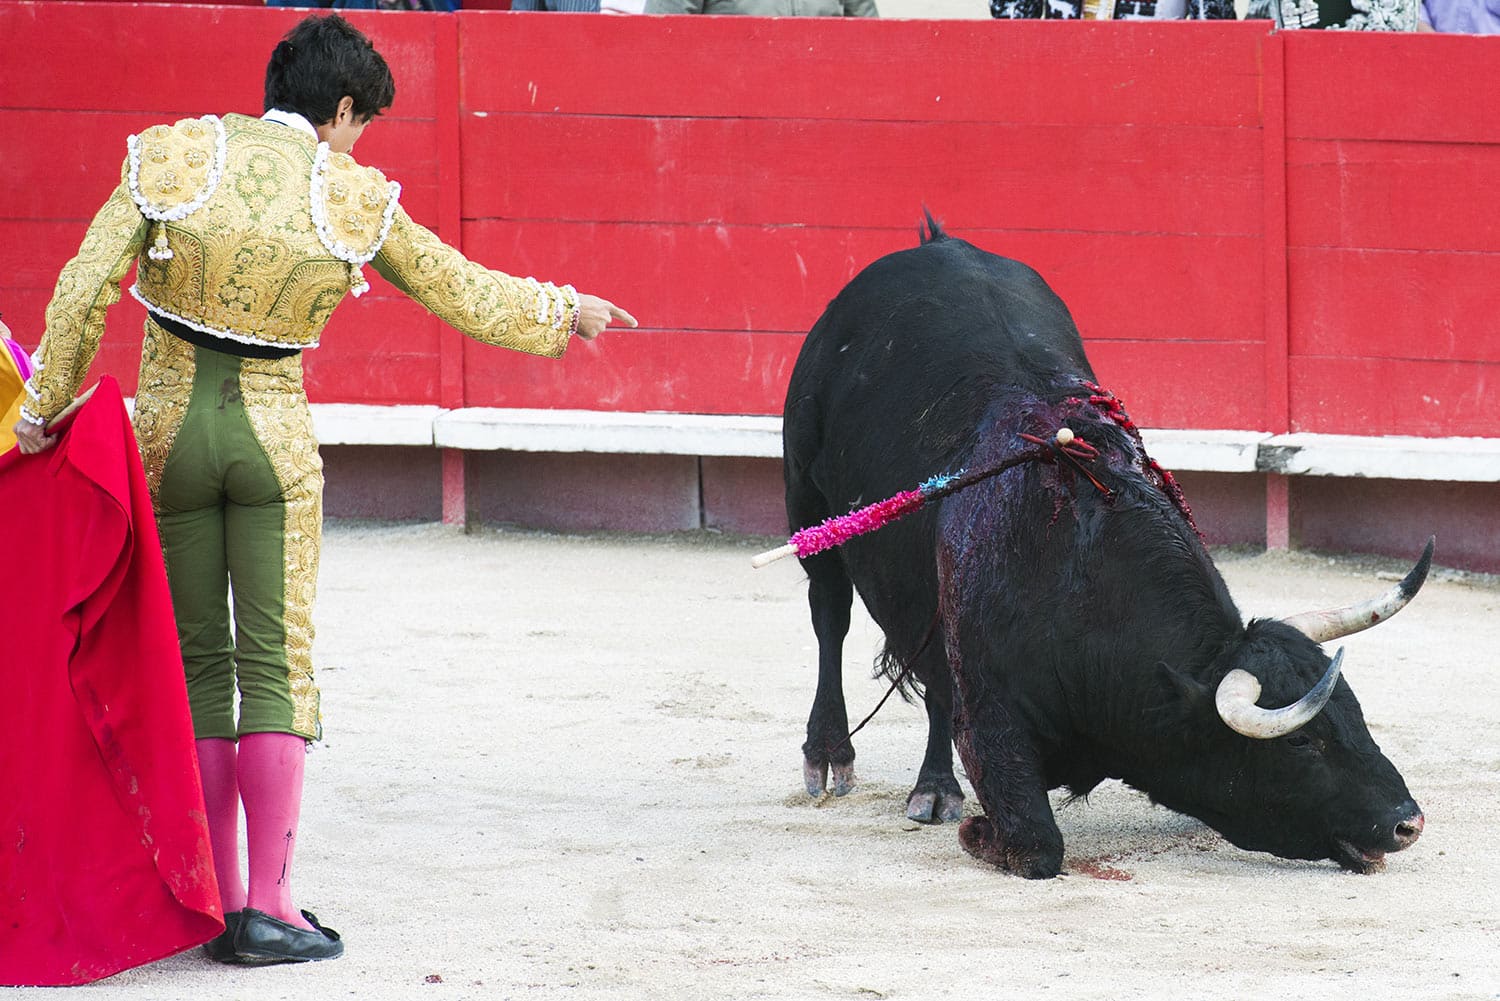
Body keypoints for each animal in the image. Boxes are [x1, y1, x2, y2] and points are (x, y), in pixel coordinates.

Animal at [786, 223, 1428, 882]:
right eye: (1301, 741)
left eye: (1354, 711)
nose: (1407, 822)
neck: (1082, 586)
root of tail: (934, 244)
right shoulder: (994, 720)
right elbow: (1039, 847)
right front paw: (977, 832)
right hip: (806, 497)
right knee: (830, 615)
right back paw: (830, 755)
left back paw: (936, 788)